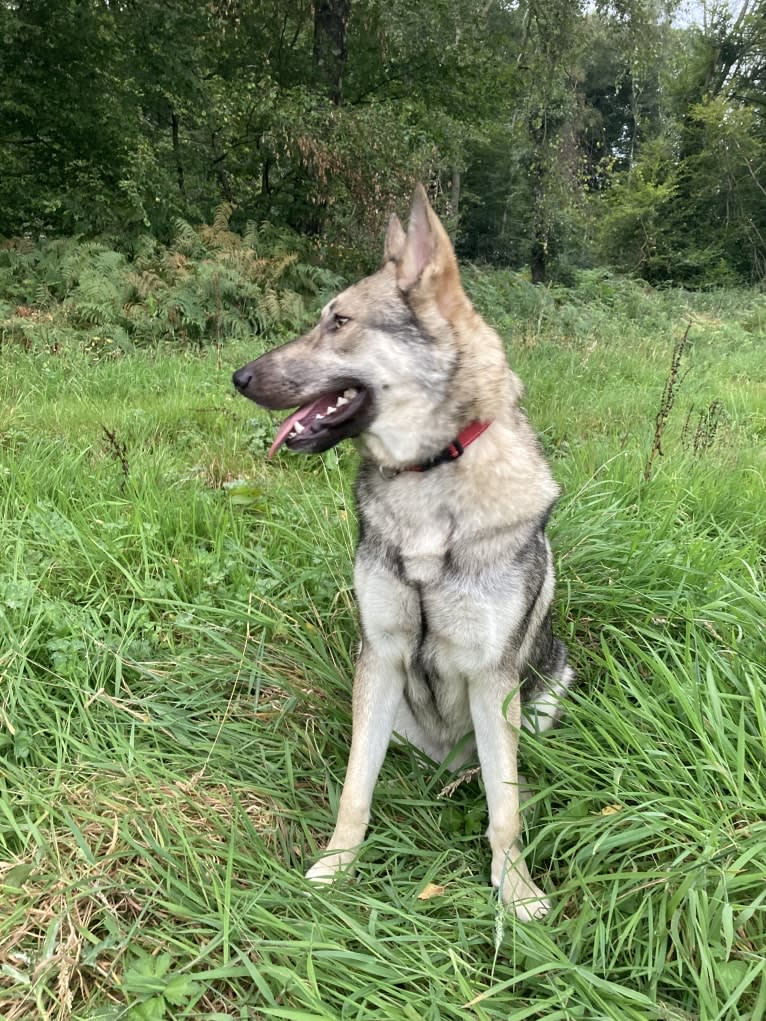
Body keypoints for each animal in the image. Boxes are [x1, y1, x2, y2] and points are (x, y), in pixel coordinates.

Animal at [233, 187, 576, 922]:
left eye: (338, 321)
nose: (238, 376)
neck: (427, 472)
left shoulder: (492, 679)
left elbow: (506, 808)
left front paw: (516, 888)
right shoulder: (381, 658)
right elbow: (354, 787)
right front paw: (335, 867)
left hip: (540, 698)